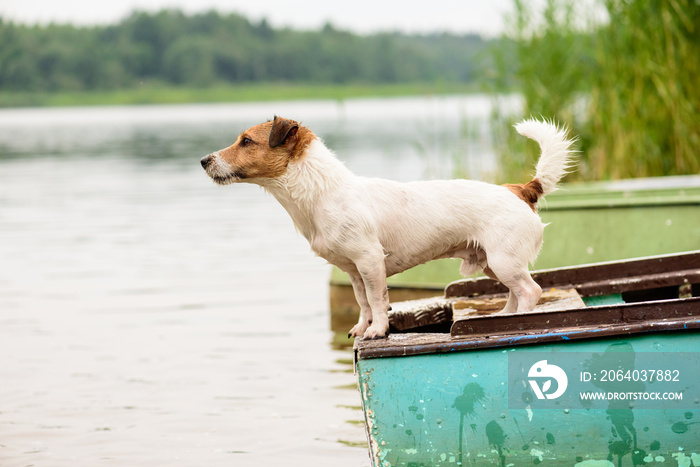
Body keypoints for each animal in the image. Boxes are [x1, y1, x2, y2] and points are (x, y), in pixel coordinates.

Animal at [201, 115, 576, 338]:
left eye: (246, 141)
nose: (204, 161)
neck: (322, 193)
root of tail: (522, 189)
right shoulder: (352, 269)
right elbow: (363, 301)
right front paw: (362, 326)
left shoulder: (369, 261)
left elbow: (378, 300)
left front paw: (378, 330)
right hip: (494, 265)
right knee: (515, 292)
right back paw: (504, 319)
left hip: (503, 261)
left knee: (530, 291)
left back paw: (520, 321)